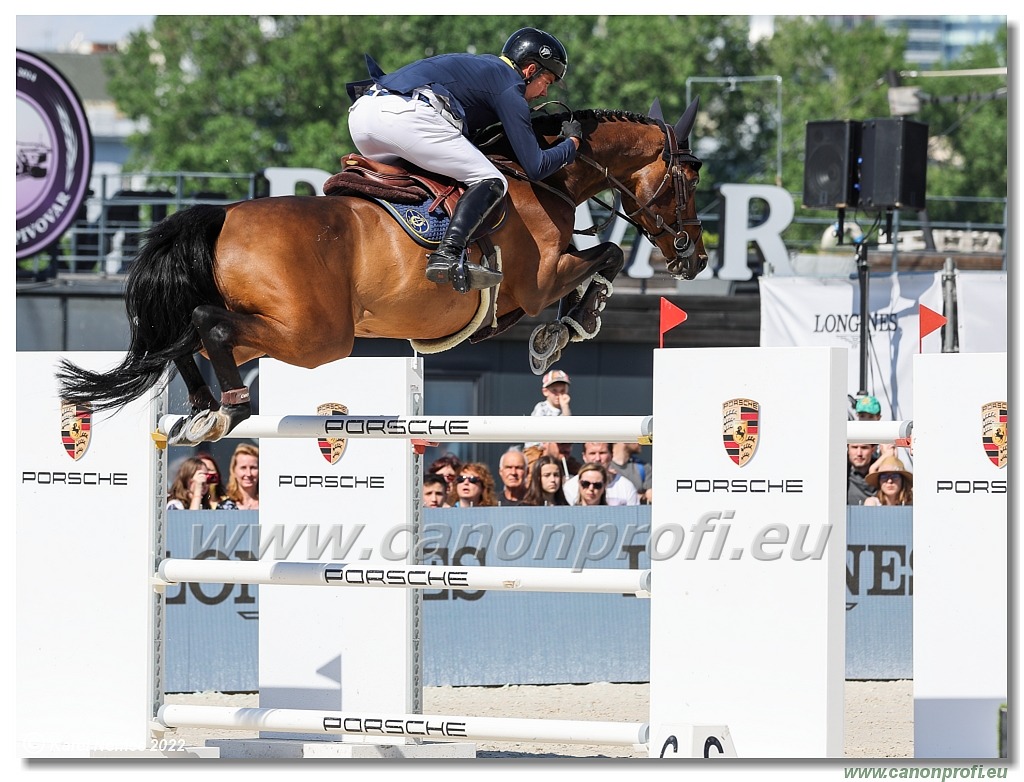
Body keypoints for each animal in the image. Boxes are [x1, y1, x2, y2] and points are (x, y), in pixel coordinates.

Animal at [56, 96, 708, 446]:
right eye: (689, 177)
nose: (695, 257)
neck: (542, 177)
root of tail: (222, 217)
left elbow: (601, 261)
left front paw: (559, 329)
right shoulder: (540, 278)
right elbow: (608, 257)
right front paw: (564, 329)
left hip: (283, 330)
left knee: (186, 336)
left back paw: (200, 411)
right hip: (317, 336)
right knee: (205, 324)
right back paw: (230, 407)